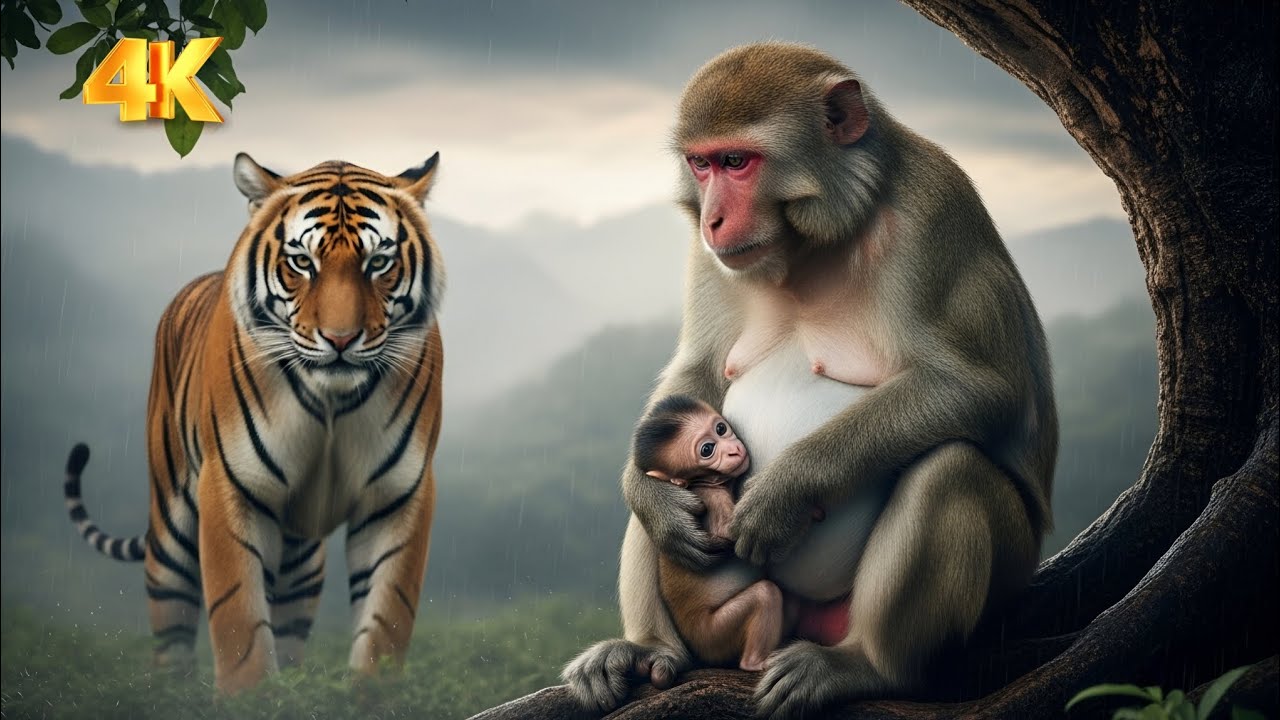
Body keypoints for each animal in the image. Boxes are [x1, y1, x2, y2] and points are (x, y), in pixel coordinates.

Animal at [61, 152, 446, 693]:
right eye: (302, 262)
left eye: (379, 263)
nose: (341, 339)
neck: (331, 401)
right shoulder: (230, 485)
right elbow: (238, 620)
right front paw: (249, 697)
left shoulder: (397, 496)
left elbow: (385, 621)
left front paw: (367, 695)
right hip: (171, 527)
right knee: (171, 627)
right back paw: (171, 695)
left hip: (301, 556)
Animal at [563, 42, 1055, 719]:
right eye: (701, 164)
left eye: (737, 161)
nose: (713, 219)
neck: (808, 246)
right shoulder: (710, 257)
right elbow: (697, 371)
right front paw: (653, 498)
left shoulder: (932, 216)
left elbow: (980, 388)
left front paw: (786, 491)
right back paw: (649, 648)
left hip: (1000, 578)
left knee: (950, 468)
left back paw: (865, 664)